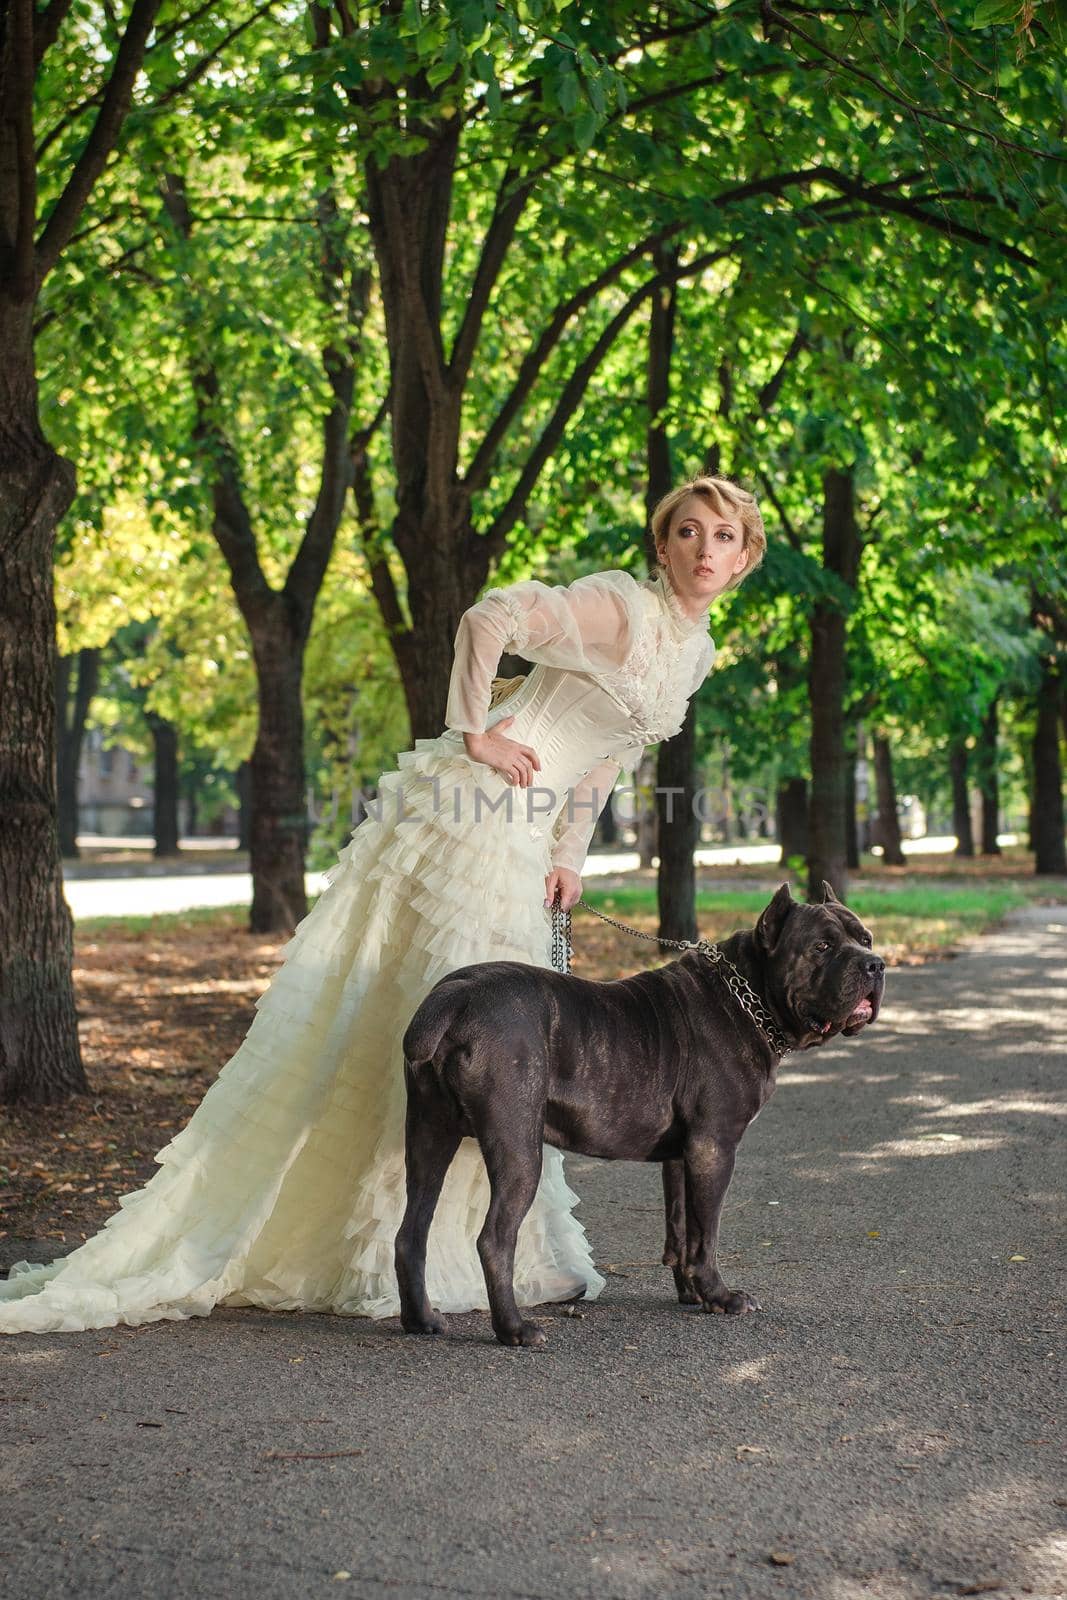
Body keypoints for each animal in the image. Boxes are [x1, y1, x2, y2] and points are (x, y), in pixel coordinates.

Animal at [396, 883, 883, 1344]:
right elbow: (707, 1231)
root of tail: (455, 996)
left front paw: (692, 1293)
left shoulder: (684, 1155)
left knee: (411, 1232)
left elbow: (681, 1227)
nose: (875, 964)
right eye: (822, 946)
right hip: (517, 1147)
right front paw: (721, 1296)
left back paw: (422, 1320)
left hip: (428, 1132)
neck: (749, 995)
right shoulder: (714, 1146)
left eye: (866, 938)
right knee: (494, 1239)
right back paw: (514, 1329)